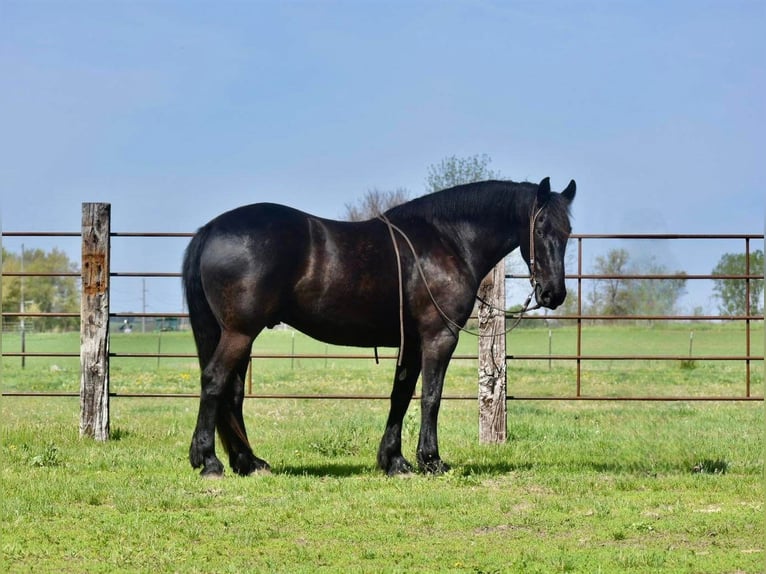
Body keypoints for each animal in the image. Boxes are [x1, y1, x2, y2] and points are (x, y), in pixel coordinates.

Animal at [182, 178, 576, 480]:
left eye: (568, 231)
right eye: (540, 228)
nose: (554, 294)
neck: (447, 241)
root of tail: (212, 230)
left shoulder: (412, 342)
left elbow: (400, 395)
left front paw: (394, 461)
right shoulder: (438, 337)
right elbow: (430, 397)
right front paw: (431, 460)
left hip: (239, 335)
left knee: (232, 394)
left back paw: (248, 462)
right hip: (239, 333)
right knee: (214, 382)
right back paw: (209, 461)